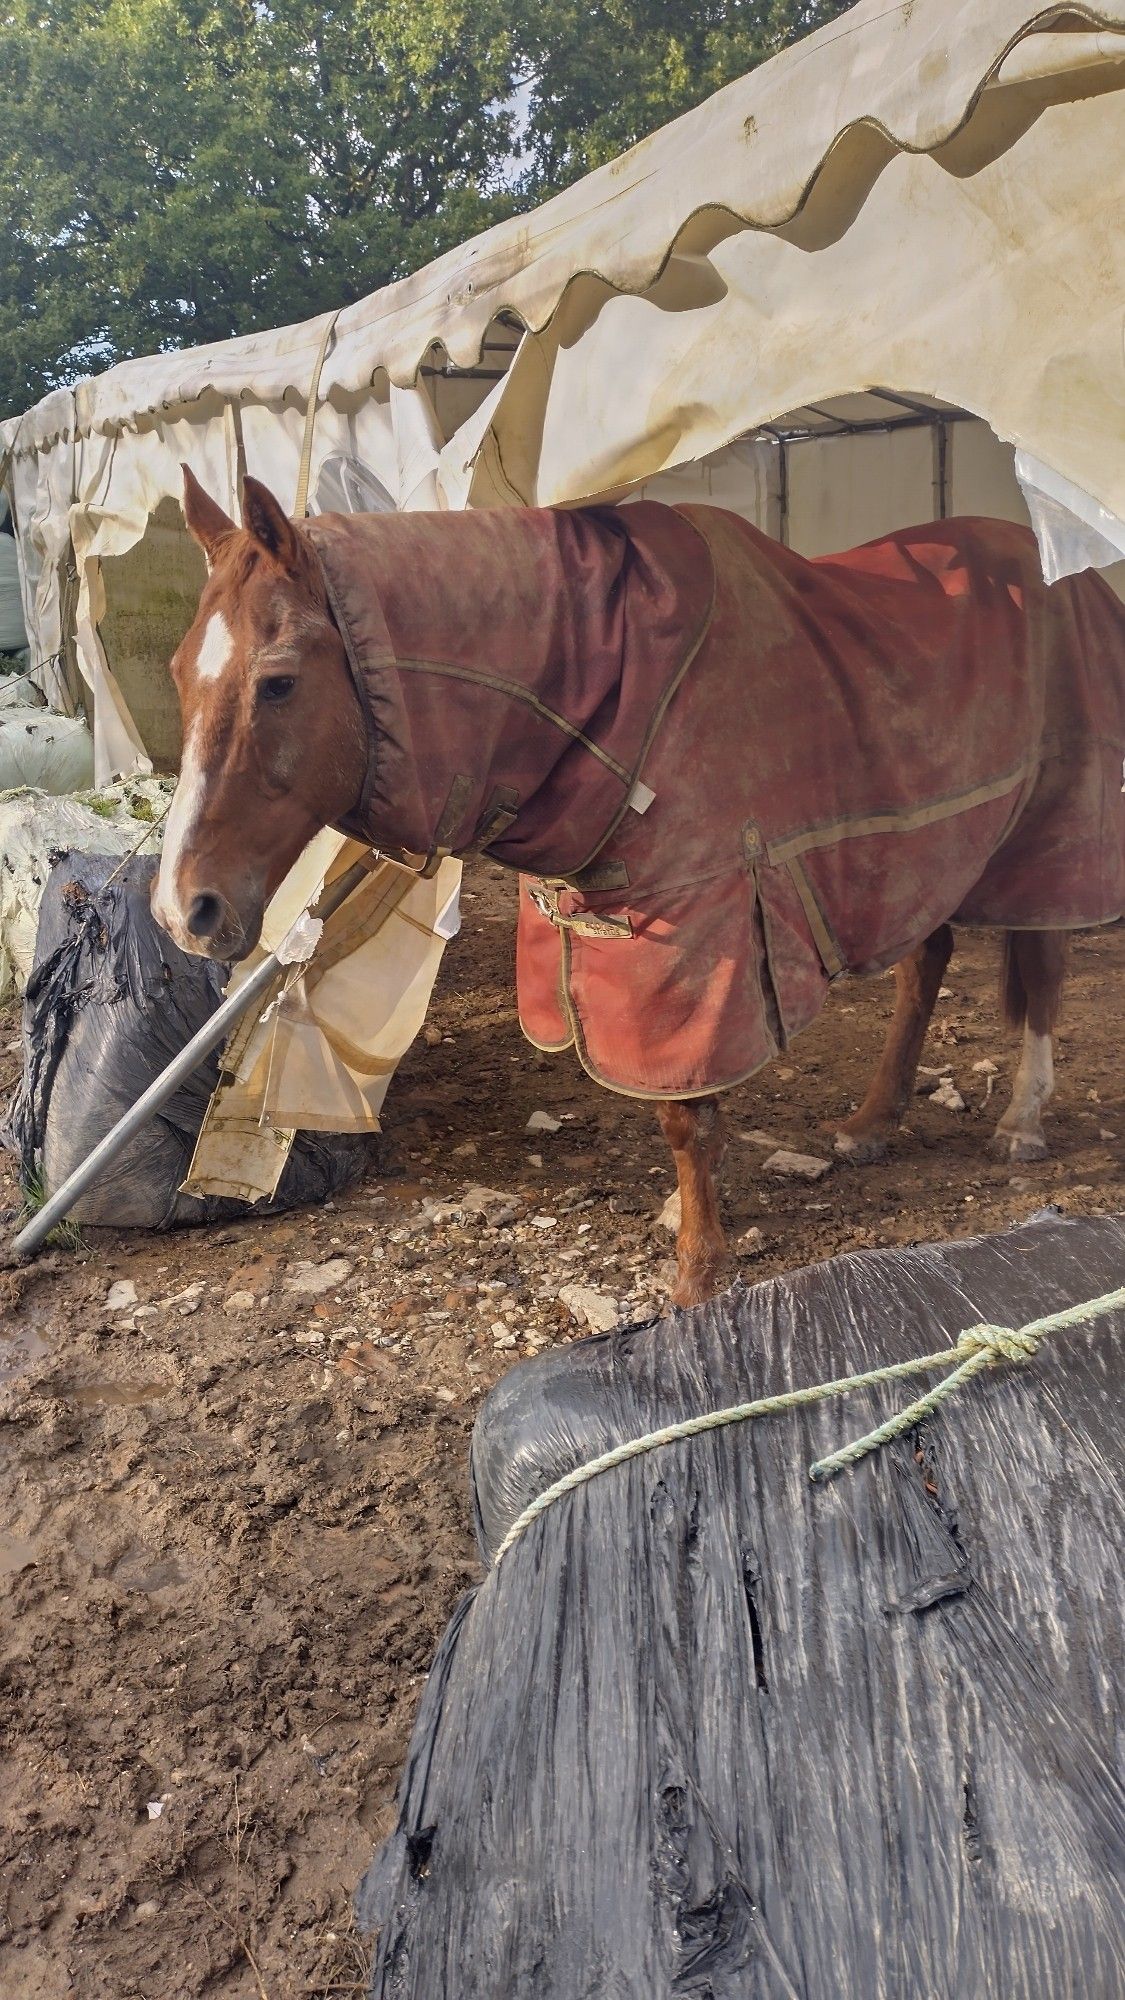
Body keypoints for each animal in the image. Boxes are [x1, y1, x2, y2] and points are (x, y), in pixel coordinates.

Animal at [151, 472, 1120, 1312]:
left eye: (278, 681)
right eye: (176, 673)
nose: (184, 911)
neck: (611, 689)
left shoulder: (702, 941)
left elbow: (687, 1120)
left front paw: (697, 1270)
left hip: (1050, 826)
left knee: (1043, 963)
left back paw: (1022, 1121)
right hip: (926, 848)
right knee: (926, 966)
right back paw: (873, 1122)